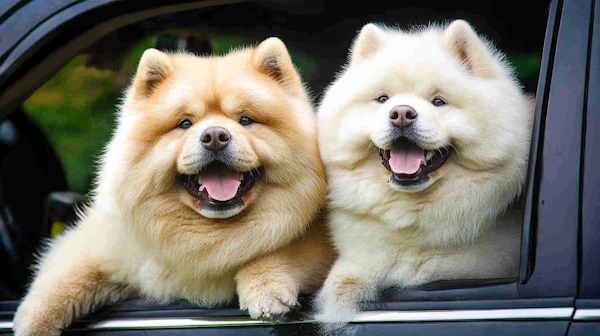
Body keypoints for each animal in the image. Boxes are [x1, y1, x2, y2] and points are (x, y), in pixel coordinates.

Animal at [12, 37, 332, 336]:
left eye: (245, 119)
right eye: (185, 123)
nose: (215, 136)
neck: (209, 235)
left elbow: (282, 250)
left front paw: (265, 287)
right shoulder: (111, 246)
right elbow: (65, 276)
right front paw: (32, 322)